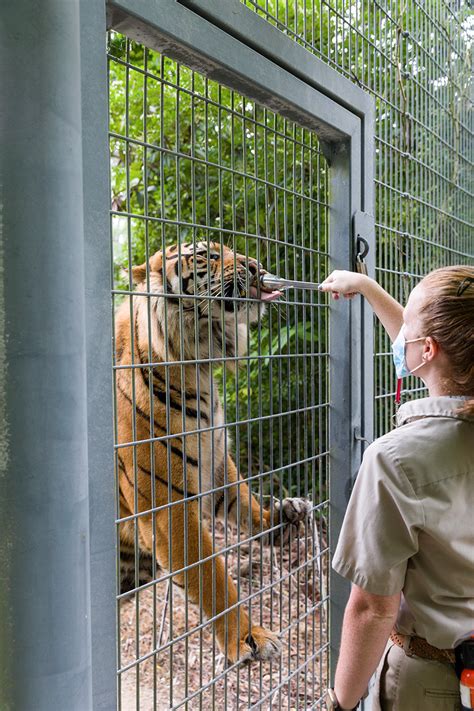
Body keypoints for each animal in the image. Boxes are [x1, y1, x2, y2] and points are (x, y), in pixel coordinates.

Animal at [115, 242, 312, 664]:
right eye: (207, 255)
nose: (255, 266)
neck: (199, 362)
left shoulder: (214, 458)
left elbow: (242, 499)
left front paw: (281, 519)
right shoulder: (169, 509)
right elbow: (213, 577)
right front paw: (249, 637)